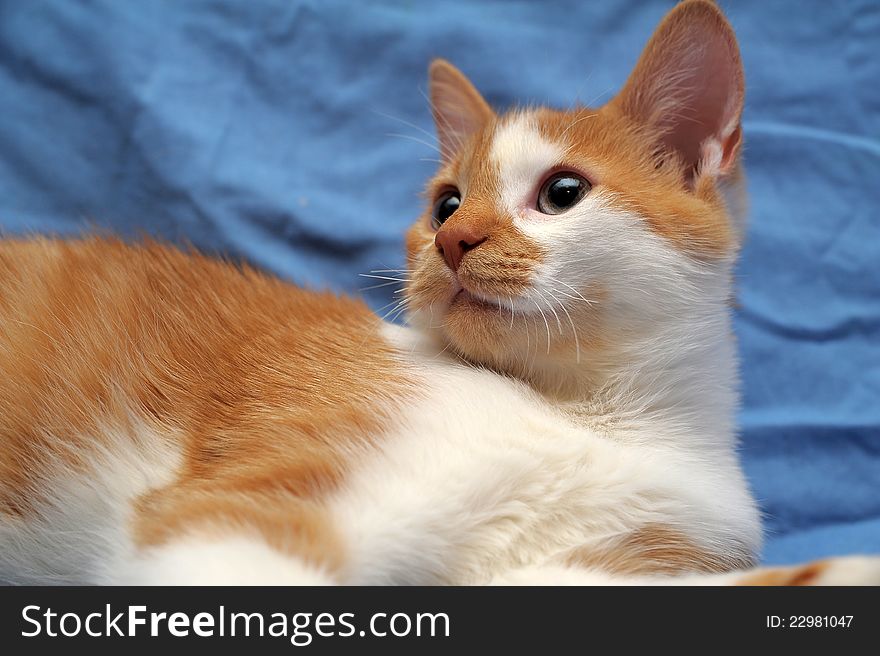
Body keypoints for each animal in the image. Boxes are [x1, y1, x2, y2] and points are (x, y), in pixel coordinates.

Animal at [0, 0, 876, 584]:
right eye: (447, 204)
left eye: (562, 193)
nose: (456, 242)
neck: (600, 417)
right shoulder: (247, 503)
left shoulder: (593, 561)